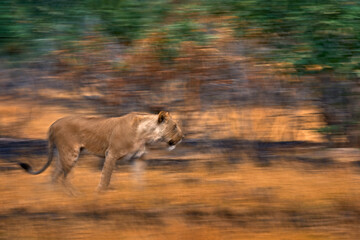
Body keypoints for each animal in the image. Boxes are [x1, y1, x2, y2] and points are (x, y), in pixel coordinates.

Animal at [19, 111, 183, 191]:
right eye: (175, 126)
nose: (182, 137)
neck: (145, 135)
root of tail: (53, 124)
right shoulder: (111, 154)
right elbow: (106, 178)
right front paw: (99, 194)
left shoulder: (138, 158)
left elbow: (140, 179)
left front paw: (141, 194)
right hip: (70, 153)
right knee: (64, 178)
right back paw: (75, 196)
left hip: (62, 154)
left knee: (54, 176)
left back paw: (53, 196)